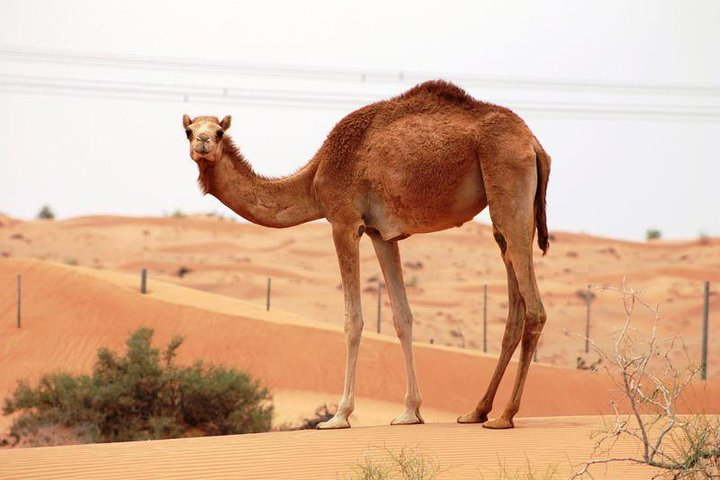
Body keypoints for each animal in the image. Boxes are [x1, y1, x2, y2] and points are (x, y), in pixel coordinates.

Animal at [182, 80, 550, 430]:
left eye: (218, 131)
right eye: (189, 130)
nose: (203, 143)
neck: (315, 178)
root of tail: (533, 143)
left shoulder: (343, 221)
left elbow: (353, 320)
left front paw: (339, 415)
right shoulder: (380, 234)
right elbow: (402, 317)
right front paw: (410, 412)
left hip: (508, 183)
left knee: (534, 309)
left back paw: (505, 415)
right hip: (505, 214)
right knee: (514, 306)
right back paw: (477, 411)